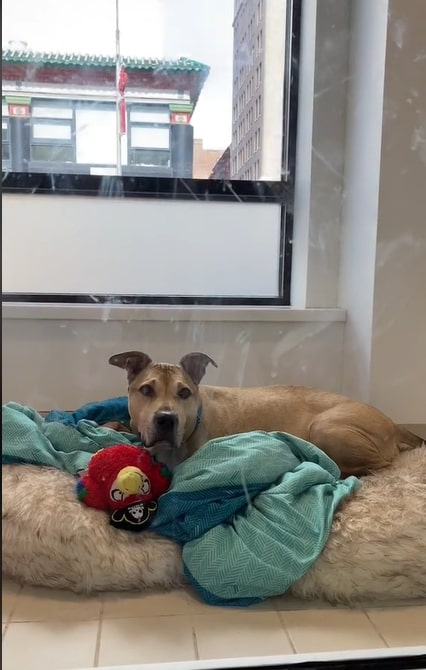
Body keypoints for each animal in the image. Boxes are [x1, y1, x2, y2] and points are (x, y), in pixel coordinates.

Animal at [107, 354, 422, 476]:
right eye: (146, 390)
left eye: (184, 392)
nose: (166, 418)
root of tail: (394, 424)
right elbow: (120, 425)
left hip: (325, 428)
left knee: (381, 466)